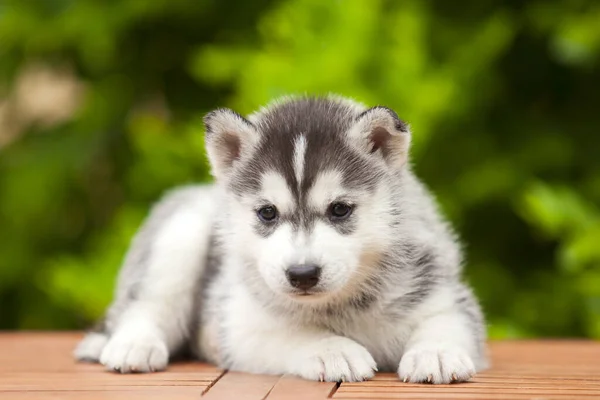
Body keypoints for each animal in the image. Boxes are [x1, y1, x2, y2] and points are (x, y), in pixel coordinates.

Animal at [74, 94, 488, 384]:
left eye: (340, 209)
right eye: (267, 213)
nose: (302, 274)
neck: (341, 305)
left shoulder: (443, 292)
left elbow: (445, 321)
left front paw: (437, 352)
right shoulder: (240, 322)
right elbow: (294, 332)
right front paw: (332, 349)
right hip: (182, 231)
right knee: (147, 304)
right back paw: (134, 345)